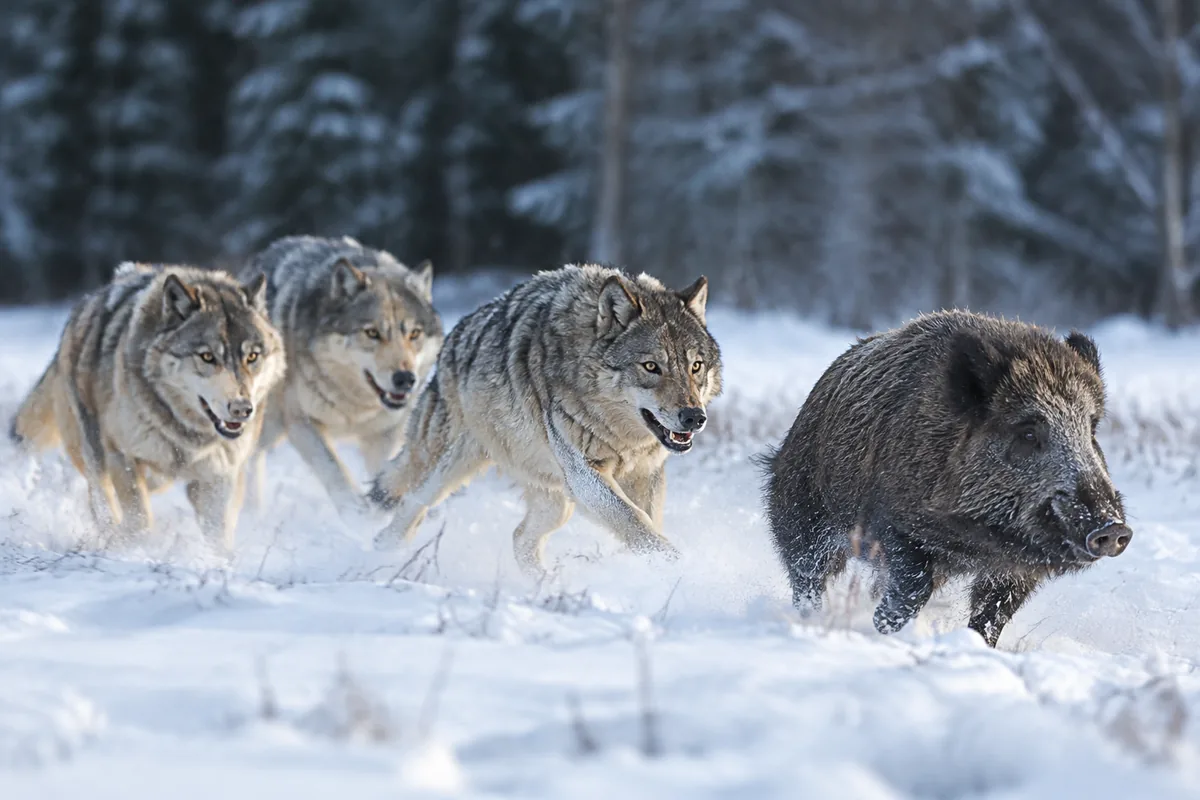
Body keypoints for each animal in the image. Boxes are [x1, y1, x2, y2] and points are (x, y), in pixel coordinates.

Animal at [9, 262, 285, 550]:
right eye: (207, 356)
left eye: (252, 356)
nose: (242, 409)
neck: (187, 436)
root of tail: (87, 301)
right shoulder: (122, 455)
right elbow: (139, 520)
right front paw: (137, 550)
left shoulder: (221, 475)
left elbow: (218, 537)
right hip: (93, 452)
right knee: (100, 499)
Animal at [240, 236, 443, 517]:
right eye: (372, 333)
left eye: (414, 334)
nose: (405, 378)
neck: (355, 407)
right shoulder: (301, 422)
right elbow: (334, 470)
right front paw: (356, 515)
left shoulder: (385, 434)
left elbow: (385, 473)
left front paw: (381, 510)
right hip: (267, 425)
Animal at [369, 263, 723, 576]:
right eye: (651, 367)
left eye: (695, 366)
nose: (694, 417)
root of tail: (456, 333)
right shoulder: (585, 474)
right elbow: (636, 522)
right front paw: (678, 566)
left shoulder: (645, 474)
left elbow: (645, 522)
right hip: (448, 470)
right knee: (410, 505)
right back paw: (376, 556)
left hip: (558, 501)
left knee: (520, 538)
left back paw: (546, 586)